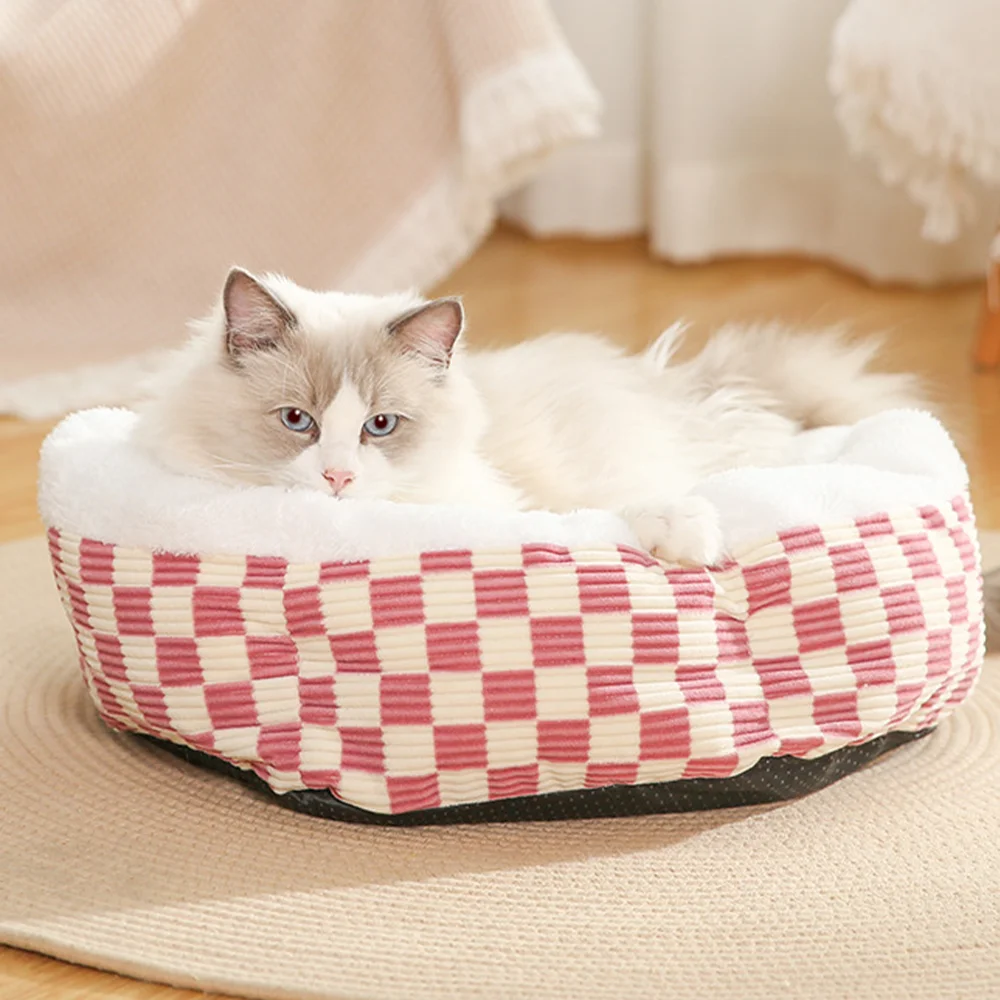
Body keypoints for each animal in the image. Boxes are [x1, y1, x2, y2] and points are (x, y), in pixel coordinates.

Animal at [135, 267, 926, 565]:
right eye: (297, 420)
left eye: (380, 427)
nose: (337, 479)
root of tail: (669, 380)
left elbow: (634, 510)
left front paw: (689, 540)